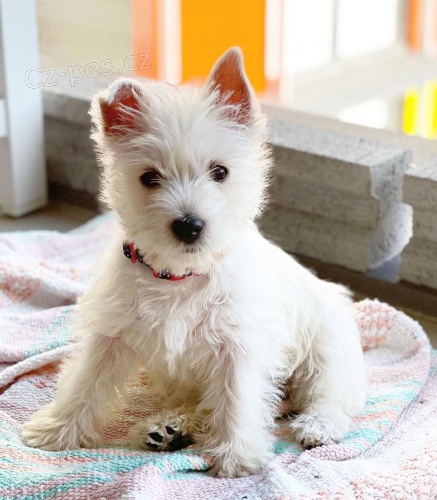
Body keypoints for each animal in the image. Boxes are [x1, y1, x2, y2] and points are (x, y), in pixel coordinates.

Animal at [22, 48, 366, 478]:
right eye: (149, 177)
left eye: (220, 171)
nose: (189, 225)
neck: (178, 276)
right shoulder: (111, 335)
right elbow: (86, 380)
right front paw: (55, 429)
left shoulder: (238, 345)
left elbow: (236, 398)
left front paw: (236, 457)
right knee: (204, 408)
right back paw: (167, 428)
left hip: (326, 347)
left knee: (329, 393)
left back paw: (318, 426)